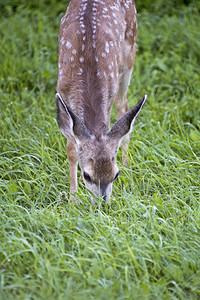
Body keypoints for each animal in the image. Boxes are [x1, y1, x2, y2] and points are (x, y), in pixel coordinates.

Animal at [56, 0, 147, 204]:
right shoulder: (61, 90)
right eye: (87, 175)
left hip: (130, 47)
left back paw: (127, 161)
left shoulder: (110, 91)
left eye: (115, 175)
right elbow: (71, 149)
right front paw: (73, 199)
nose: (102, 205)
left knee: (124, 105)